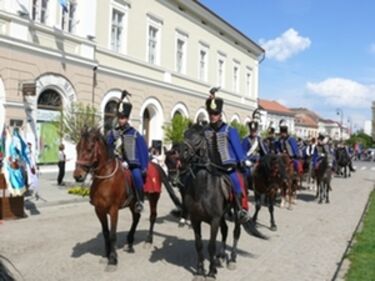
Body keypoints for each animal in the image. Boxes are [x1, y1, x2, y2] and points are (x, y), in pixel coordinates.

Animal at [73, 127, 181, 270]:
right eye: (77, 147)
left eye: (90, 148)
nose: (77, 175)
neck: (105, 179)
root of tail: (155, 165)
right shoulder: (99, 210)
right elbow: (106, 233)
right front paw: (106, 255)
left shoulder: (113, 210)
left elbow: (112, 234)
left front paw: (113, 259)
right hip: (133, 203)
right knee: (136, 218)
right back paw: (129, 242)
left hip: (153, 198)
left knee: (152, 216)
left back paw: (148, 240)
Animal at [178, 124, 266, 280]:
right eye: (185, 134)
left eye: (198, 137)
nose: (182, 152)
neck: (202, 188)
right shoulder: (196, 219)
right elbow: (199, 245)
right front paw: (200, 271)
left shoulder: (214, 220)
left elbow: (211, 245)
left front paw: (211, 271)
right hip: (223, 215)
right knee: (225, 230)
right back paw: (221, 256)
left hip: (236, 213)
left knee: (236, 232)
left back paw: (232, 259)